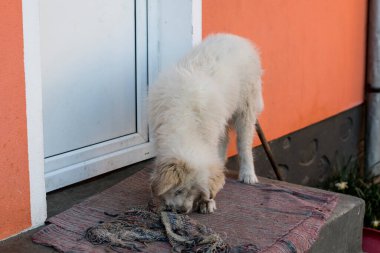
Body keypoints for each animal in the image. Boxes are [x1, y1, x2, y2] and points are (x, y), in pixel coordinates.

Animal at [148, 32, 264, 213]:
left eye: (194, 192)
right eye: (178, 190)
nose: (182, 211)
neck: (185, 123)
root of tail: (237, 38)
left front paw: (208, 202)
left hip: (245, 110)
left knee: (244, 145)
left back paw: (248, 174)